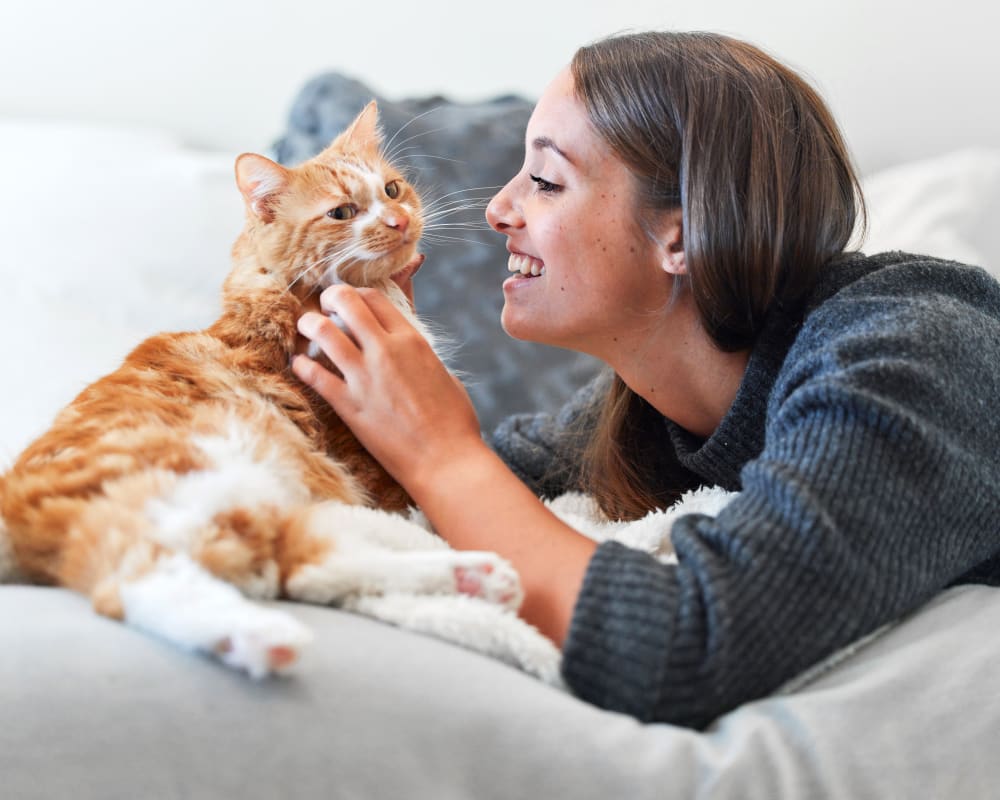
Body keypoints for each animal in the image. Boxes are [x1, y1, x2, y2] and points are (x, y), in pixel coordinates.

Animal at [0, 103, 528, 680]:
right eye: (342, 212)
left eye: (391, 190)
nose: (399, 220)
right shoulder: (375, 466)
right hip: (190, 477)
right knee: (134, 578)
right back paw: (264, 638)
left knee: (300, 567)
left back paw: (472, 576)